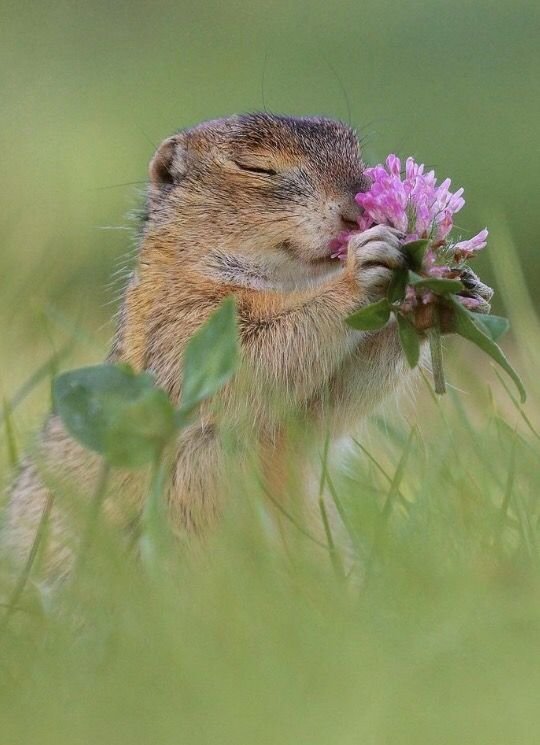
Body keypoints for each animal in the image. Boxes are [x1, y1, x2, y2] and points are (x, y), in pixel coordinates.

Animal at [7, 113, 480, 572]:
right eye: (255, 168)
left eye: (358, 156)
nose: (356, 213)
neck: (285, 283)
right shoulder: (184, 325)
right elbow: (260, 356)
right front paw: (361, 267)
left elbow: (332, 402)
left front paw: (446, 296)